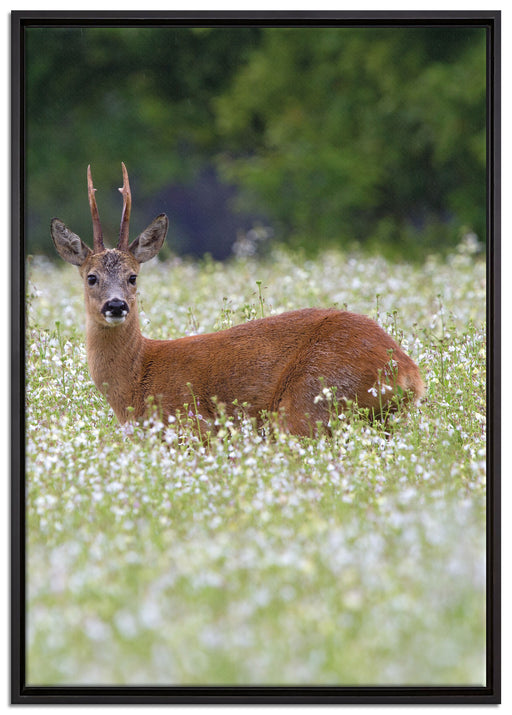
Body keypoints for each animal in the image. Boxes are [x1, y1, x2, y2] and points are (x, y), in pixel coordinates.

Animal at [51, 163, 425, 438]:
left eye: (133, 277)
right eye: (91, 277)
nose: (116, 306)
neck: (138, 378)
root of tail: (408, 372)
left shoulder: (191, 426)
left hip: (310, 401)